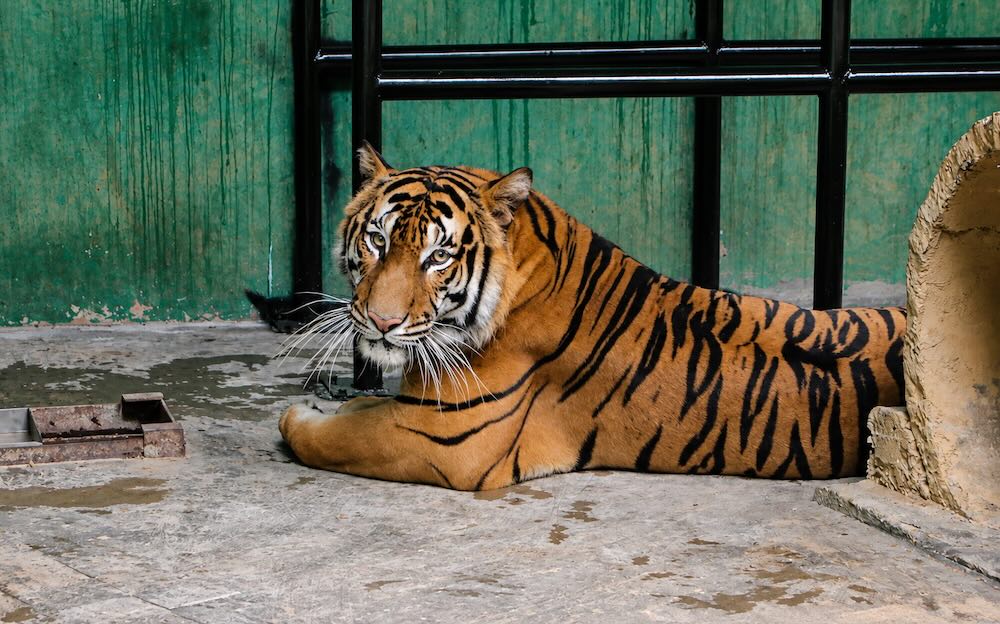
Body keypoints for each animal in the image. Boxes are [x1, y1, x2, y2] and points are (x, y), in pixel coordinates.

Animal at [278, 143, 906, 491]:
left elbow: (334, 438)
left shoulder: (446, 438)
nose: (381, 323)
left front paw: (301, 416)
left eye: (438, 257)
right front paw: (336, 402)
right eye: (378, 240)